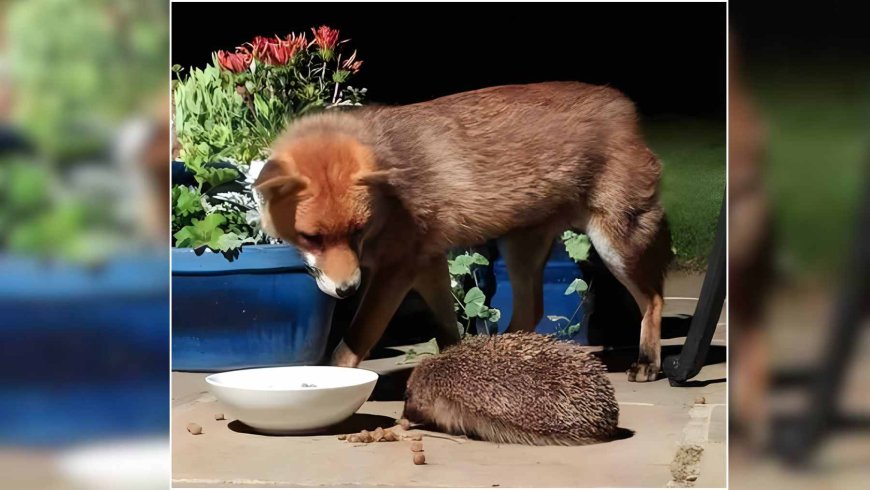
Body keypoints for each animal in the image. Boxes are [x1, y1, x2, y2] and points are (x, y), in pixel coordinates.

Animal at [254, 82, 673, 382]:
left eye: (357, 231)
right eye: (312, 238)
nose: (347, 290)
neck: (390, 202)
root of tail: (622, 104)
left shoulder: (398, 268)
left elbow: (356, 339)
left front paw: (331, 379)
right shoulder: (428, 263)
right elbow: (446, 329)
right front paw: (456, 365)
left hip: (614, 246)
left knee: (653, 300)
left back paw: (648, 362)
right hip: (520, 250)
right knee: (531, 311)